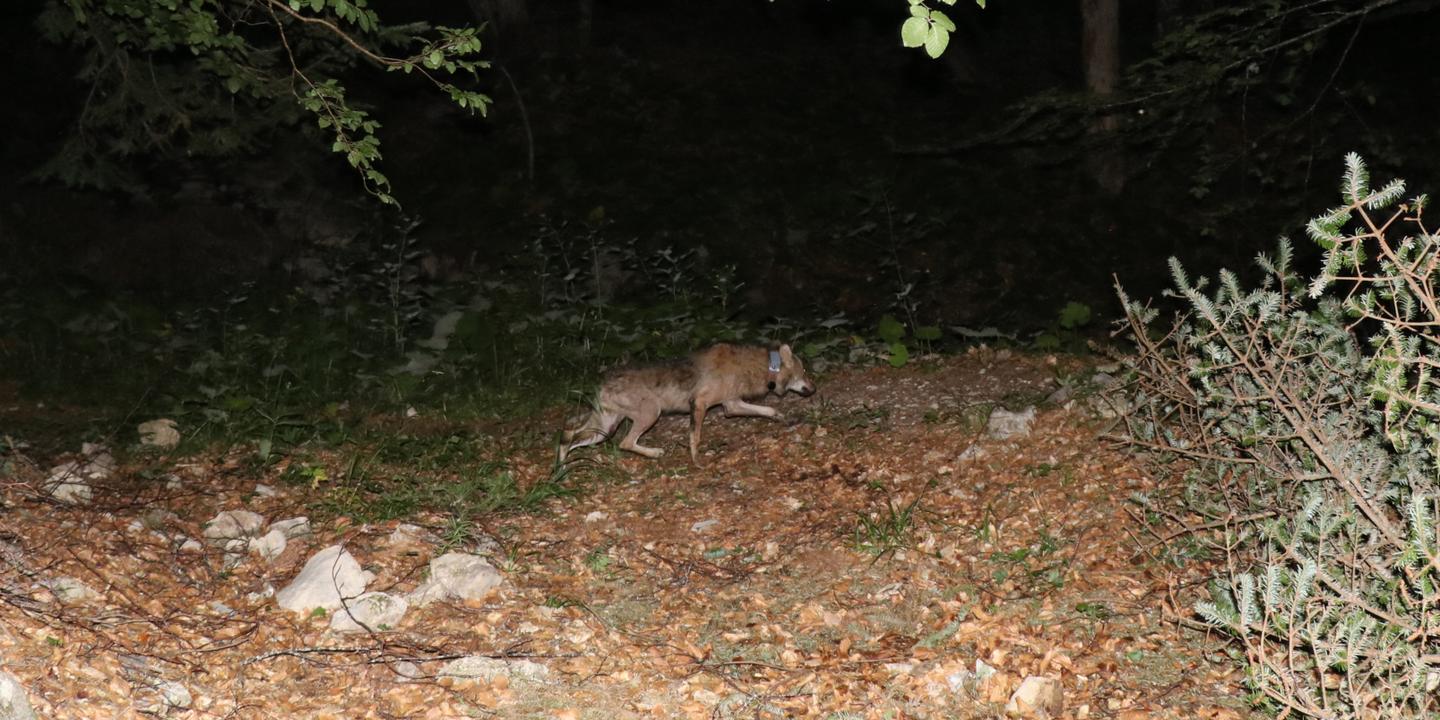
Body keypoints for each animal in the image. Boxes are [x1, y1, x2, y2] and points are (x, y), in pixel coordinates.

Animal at [560, 343, 816, 463]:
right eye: (804, 372)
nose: (813, 389)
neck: (762, 367)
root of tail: (602, 383)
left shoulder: (731, 405)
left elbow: (769, 409)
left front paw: (782, 418)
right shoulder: (700, 403)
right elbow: (695, 437)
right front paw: (697, 462)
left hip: (605, 429)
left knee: (568, 436)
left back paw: (560, 469)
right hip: (650, 414)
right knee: (624, 442)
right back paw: (654, 453)